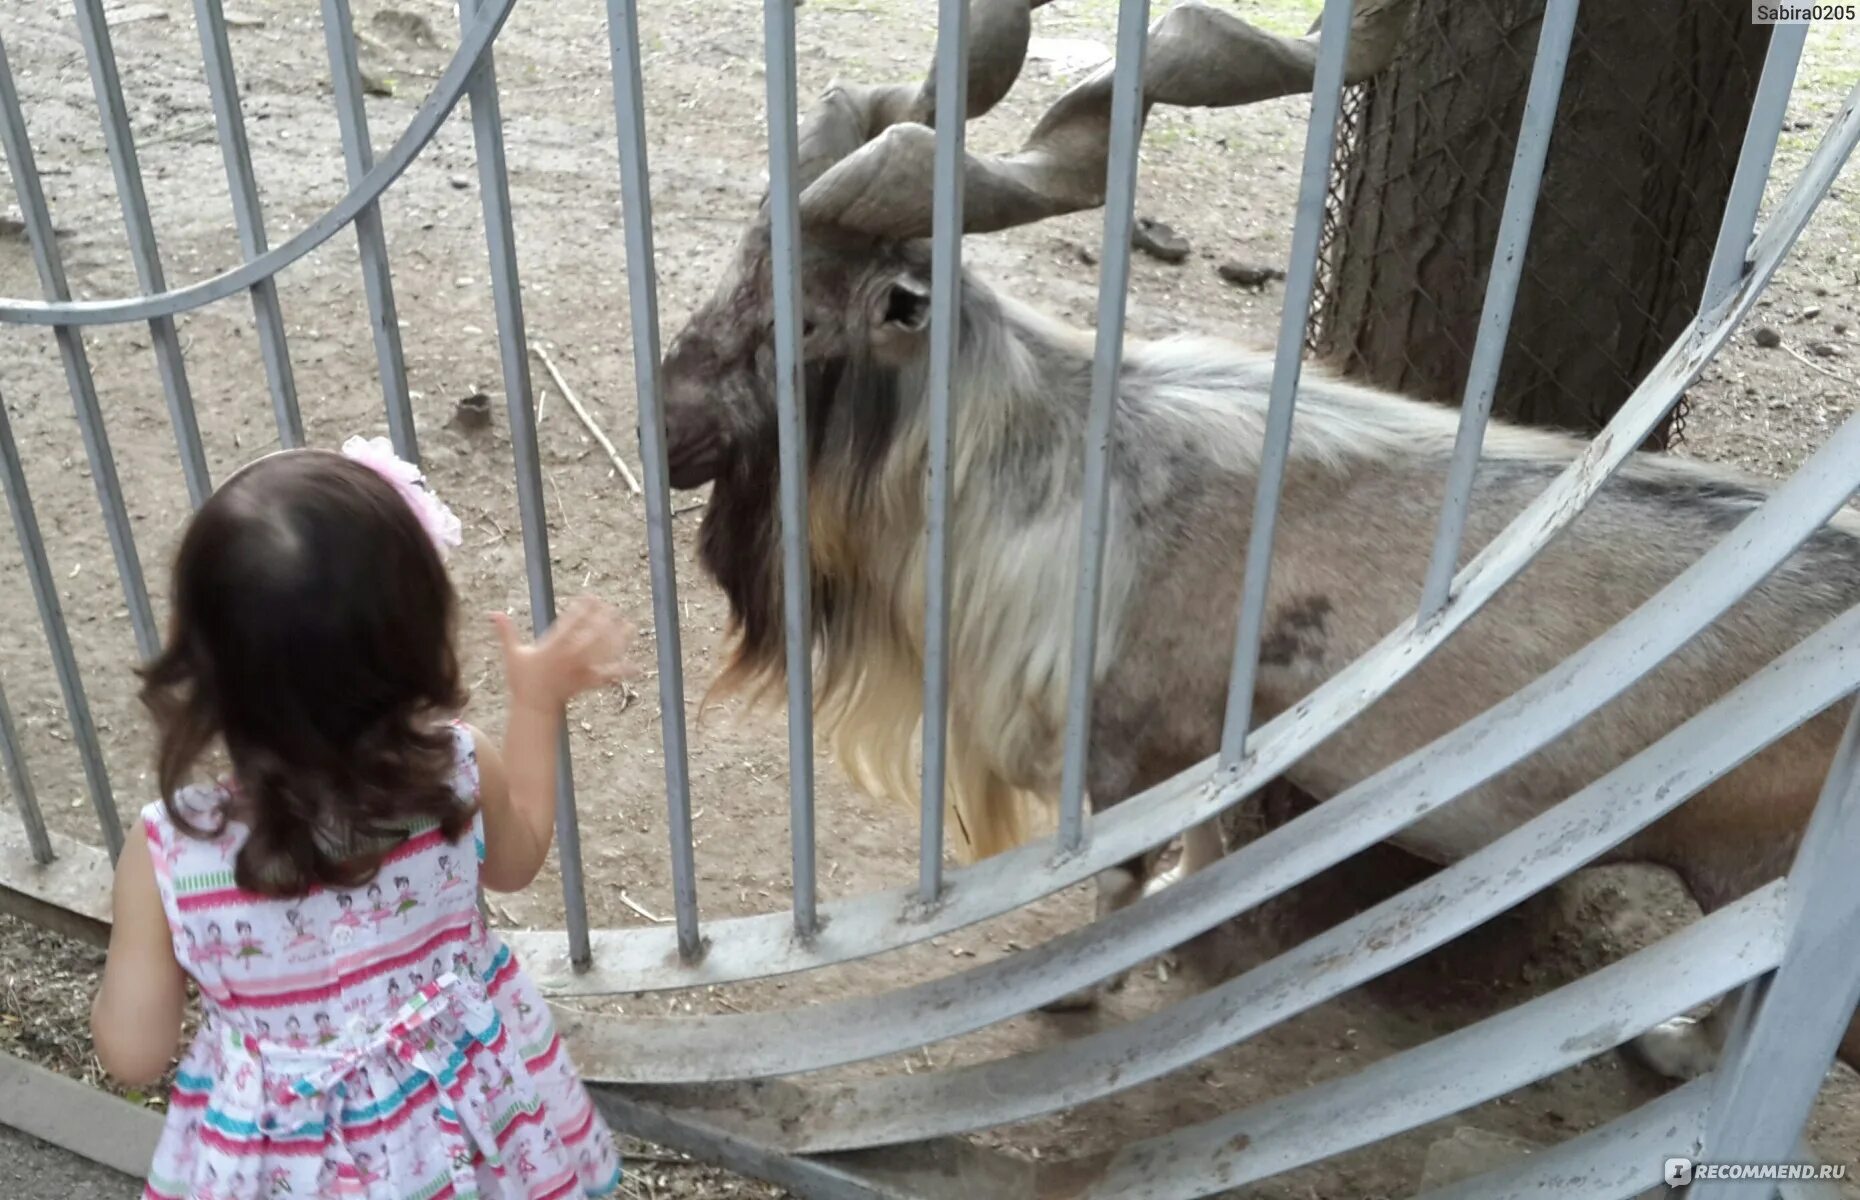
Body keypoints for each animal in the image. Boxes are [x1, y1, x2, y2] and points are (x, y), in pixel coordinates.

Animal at [654, 0, 1860, 1079]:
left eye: (806, 314)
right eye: (736, 264)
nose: (664, 430)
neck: (1063, 463)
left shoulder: (1125, 750)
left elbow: (1118, 879)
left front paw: (1081, 991)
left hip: (1745, 861)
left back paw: (1670, 1044)